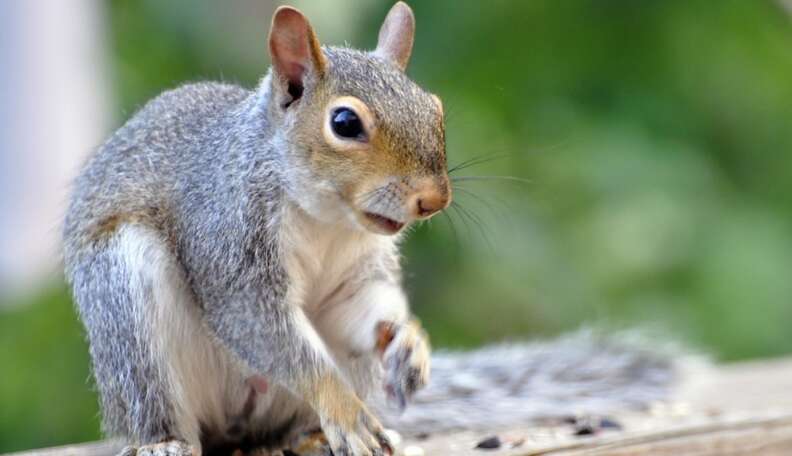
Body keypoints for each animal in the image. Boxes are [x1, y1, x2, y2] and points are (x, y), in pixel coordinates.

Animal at [63, 3, 680, 456]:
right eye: (344, 122)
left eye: (435, 108)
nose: (433, 200)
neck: (325, 218)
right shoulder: (228, 236)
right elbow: (265, 329)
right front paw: (342, 408)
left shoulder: (356, 273)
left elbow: (363, 310)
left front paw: (409, 341)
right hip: (126, 301)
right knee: (151, 395)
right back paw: (166, 440)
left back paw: (312, 433)